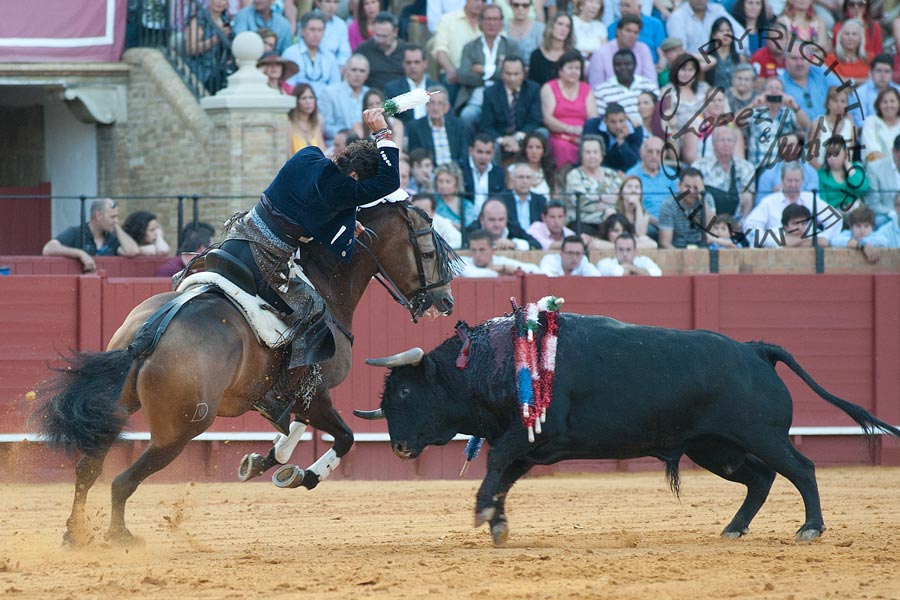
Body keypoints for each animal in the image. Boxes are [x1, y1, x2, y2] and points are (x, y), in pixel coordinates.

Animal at [35, 200, 460, 544]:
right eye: (427, 251)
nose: (446, 301)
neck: (322, 281)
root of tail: (151, 330)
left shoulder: (290, 394)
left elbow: (296, 429)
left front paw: (263, 462)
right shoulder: (314, 389)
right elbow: (344, 437)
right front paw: (302, 475)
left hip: (118, 407)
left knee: (88, 468)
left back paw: (75, 534)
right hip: (180, 430)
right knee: (123, 480)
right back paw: (119, 537)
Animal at [356, 316, 900, 548]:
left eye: (405, 392)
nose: (399, 447)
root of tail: (754, 349)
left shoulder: (534, 436)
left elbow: (494, 465)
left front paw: (484, 513)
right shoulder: (530, 447)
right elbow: (504, 476)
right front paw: (496, 522)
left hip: (761, 437)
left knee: (801, 469)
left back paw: (811, 528)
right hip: (715, 449)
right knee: (761, 479)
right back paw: (733, 528)